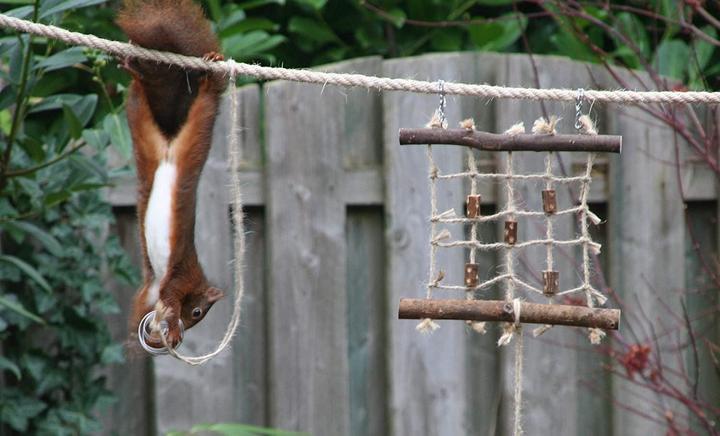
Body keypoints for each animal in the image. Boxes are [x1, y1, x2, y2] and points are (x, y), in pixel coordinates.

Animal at [117, 0, 228, 349]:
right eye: (197, 313)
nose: (184, 330)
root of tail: (169, 151)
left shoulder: (151, 290)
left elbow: (143, 305)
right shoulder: (178, 280)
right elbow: (171, 296)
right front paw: (173, 330)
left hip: (147, 140)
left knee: (138, 102)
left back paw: (135, 73)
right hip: (194, 140)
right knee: (205, 104)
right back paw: (210, 76)